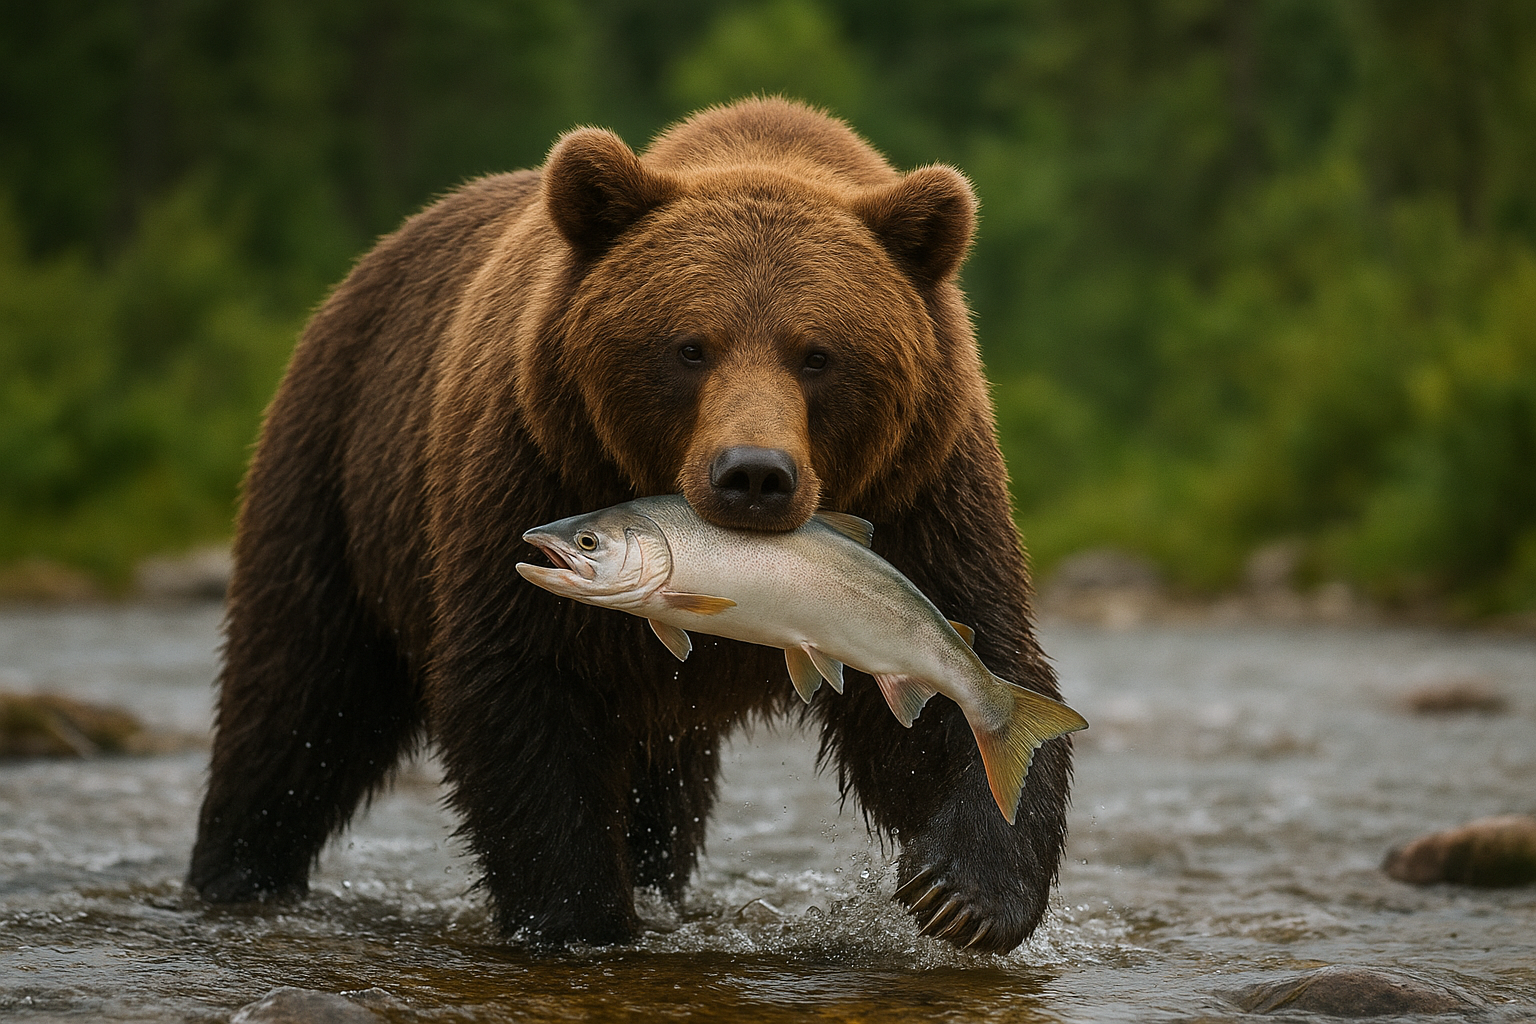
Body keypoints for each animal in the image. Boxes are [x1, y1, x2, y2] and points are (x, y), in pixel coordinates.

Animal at [187, 97, 1073, 954]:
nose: (754, 475)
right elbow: (521, 694)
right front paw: (580, 920)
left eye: (819, 354)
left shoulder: (926, 493)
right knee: (297, 703)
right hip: (335, 476)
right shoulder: (533, 465)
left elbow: (961, 676)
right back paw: (235, 875)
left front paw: (962, 893)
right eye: (690, 347)